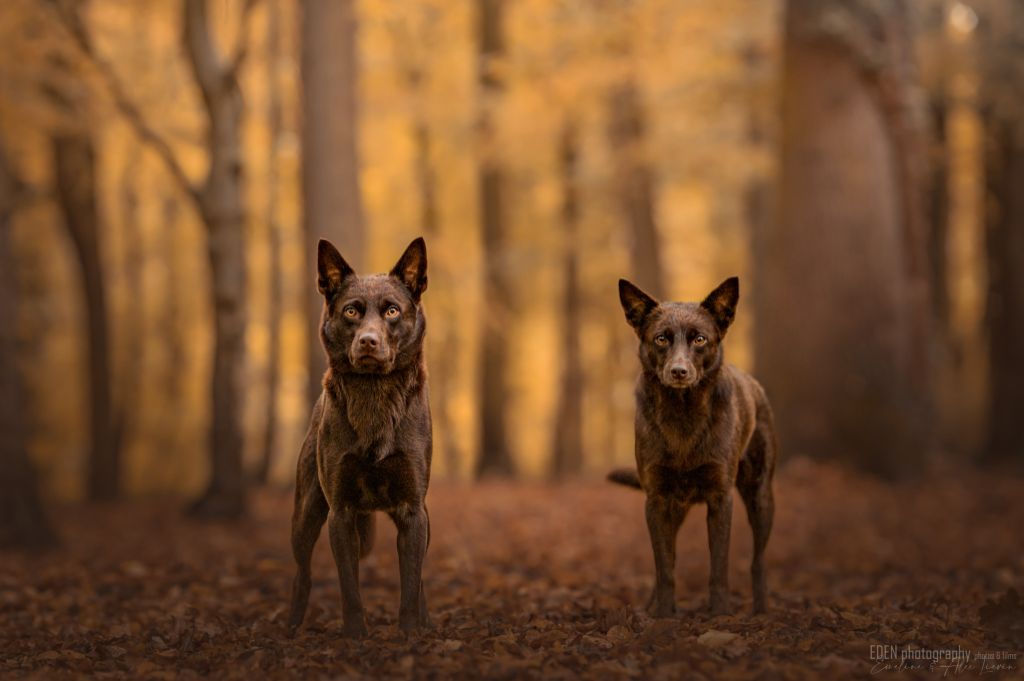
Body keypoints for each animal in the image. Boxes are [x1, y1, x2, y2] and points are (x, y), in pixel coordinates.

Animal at [288, 236, 432, 634]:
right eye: (352, 312)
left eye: (392, 311)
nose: (368, 342)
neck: (374, 393)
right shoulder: (340, 512)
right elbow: (349, 587)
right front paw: (355, 635)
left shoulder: (413, 512)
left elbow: (411, 583)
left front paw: (412, 634)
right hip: (306, 513)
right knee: (303, 574)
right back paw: (290, 627)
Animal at [606, 276, 774, 614]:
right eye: (660, 339)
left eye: (699, 340)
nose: (679, 371)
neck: (682, 412)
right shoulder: (657, 500)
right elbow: (665, 567)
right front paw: (663, 615)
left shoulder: (721, 498)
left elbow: (719, 566)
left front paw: (720, 613)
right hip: (676, 509)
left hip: (761, 495)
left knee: (758, 560)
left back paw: (761, 608)